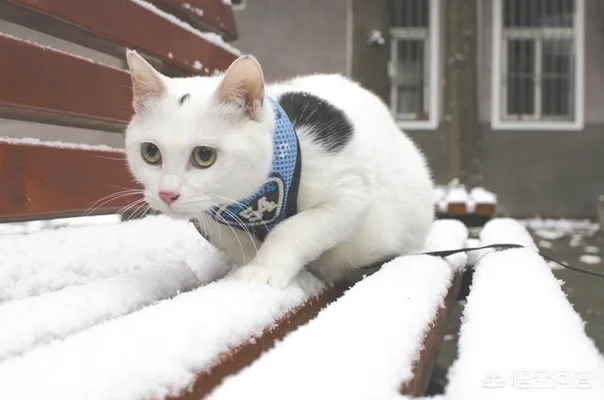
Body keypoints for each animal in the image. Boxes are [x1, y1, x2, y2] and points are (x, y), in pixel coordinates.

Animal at [124, 50, 434, 288]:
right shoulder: (213, 220)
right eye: (150, 152)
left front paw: (263, 269)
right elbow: (236, 242)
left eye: (204, 155)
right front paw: (247, 263)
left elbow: (292, 230)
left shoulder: (350, 195)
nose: (166, 194)